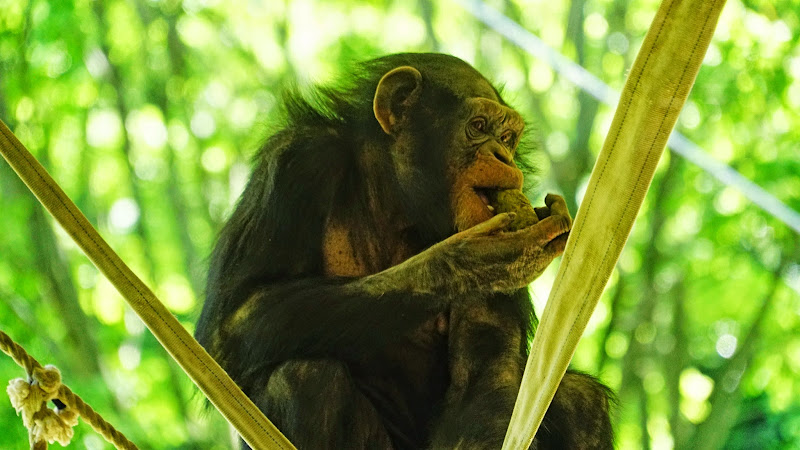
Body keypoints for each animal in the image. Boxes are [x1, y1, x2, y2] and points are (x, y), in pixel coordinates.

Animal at [195, 53, 612, 450]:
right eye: (478, 127)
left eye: (507, 136)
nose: (504, 157)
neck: (397, 198)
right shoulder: (295, 163)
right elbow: (231, 324)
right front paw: (469, 264)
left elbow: (487, 375)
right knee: (304, 378)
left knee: (581, 401)